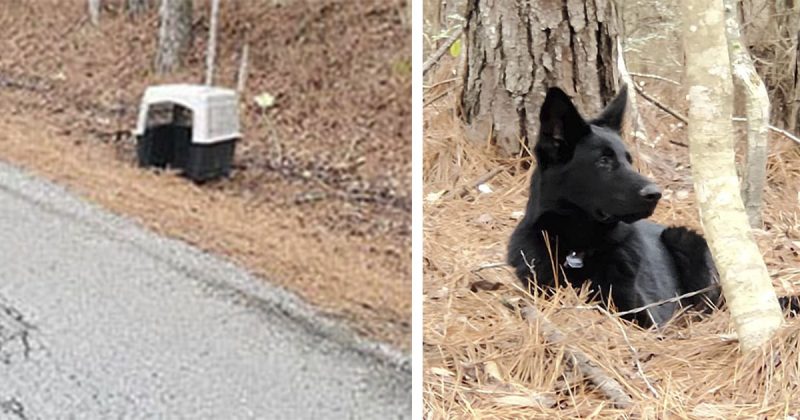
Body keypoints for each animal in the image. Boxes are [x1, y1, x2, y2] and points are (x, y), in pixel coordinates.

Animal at [510, 86, 796, 328]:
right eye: (603, 161)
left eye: (628, 159)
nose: (656, 194)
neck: (577, 250)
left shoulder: (645, 316)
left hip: (684, 239)